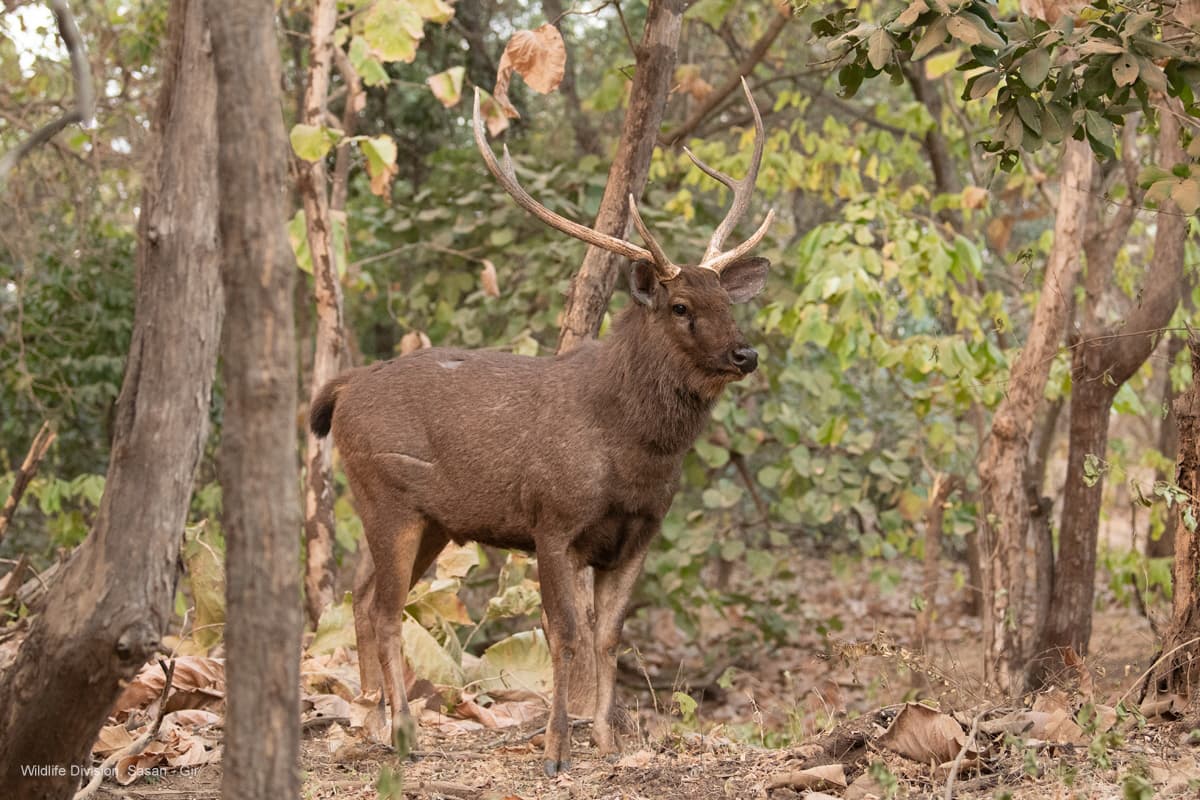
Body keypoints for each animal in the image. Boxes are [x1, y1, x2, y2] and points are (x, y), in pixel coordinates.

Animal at [309, 80, 773, 777]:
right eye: (680, 305)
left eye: (728, 302)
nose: (745, 355)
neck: (632, 453)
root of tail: (343, 388)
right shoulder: (552, 521)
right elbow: (566, 634)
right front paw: (555, 749)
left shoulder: (639, 533)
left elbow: (608, 636)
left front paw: (607, 741)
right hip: (384, 496)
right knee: (386, 608)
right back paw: (404, 732)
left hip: (434, 521)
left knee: (362, 599)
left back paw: (370, 719)